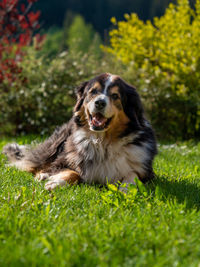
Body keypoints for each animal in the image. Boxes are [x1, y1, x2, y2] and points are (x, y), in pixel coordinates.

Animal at [2, 73, 157, 191]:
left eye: (115, 95)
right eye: (93, 91)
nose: (100, 103)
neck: (103, 142)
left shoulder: (147, 172)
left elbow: (133, 175)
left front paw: (126, 189)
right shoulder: (66, 159)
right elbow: (72, 172)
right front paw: (55, 183)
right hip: (55, 145)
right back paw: (43, 174)